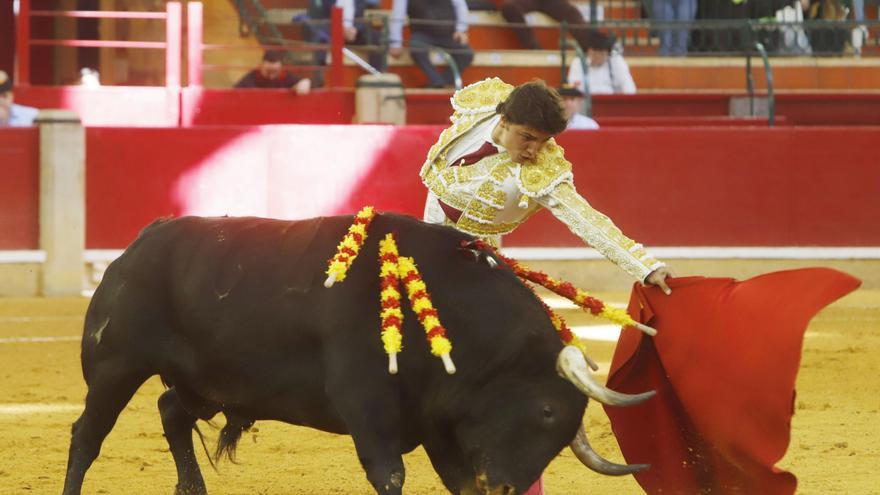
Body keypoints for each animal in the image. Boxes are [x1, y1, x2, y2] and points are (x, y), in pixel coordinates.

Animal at [63, 214, 652, 495]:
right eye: (547, 411)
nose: (506, 487)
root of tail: (144, 240)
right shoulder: (367, 407)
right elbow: (389, 475)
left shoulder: (440, 421)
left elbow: (459, 481)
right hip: (116, 367)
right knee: (88, 434)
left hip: (205, 380)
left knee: (170, 412)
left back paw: (193, 489)